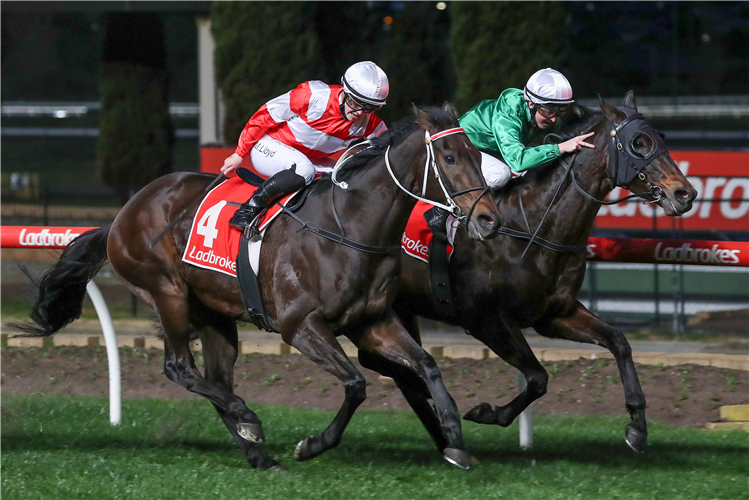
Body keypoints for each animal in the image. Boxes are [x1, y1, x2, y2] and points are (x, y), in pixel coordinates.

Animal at [14, 104, 500, 468]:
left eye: (478, 155)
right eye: (450, 158)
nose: (488, 220)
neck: (348, 226)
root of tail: (122, 215)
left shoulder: (372, 322)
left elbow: (427, 366)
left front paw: (455, 441)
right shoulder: (301, 327)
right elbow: (356, 383)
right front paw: (312, 445)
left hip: (211, 313)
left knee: (214, 377)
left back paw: (256, 450)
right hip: (166, 291)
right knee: (179, 368)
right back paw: (248, 417)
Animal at [392, 92, 696, 456]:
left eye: (660, 137)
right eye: (638, 142)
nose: (685, 193)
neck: (530, 226)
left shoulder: (553, 314)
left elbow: (619, 342)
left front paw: (637, 425)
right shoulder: (485, 319)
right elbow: (538, 378)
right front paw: (487, 413)